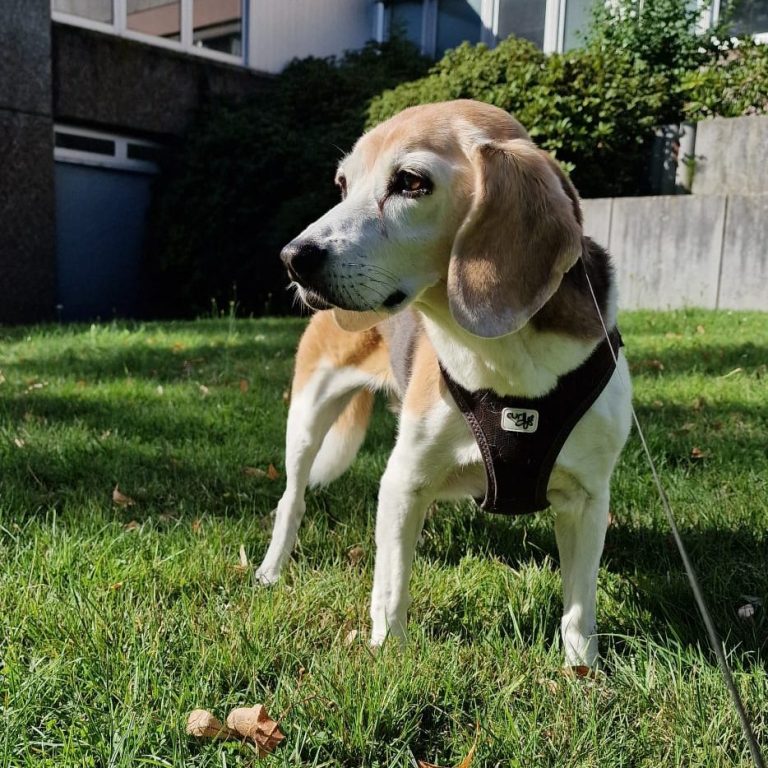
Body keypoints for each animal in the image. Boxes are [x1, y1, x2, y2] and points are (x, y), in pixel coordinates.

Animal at [255, 100, 632, 669]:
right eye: (343, 185)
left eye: (411, 182)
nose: (292, 257)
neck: (505, 358)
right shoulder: (402, 481)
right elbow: (391, 587)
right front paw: (389, 655)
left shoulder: (589, 499)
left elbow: (579, 606)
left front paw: (581, 669)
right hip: (307, 416)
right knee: (292, 500)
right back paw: (271, 570)